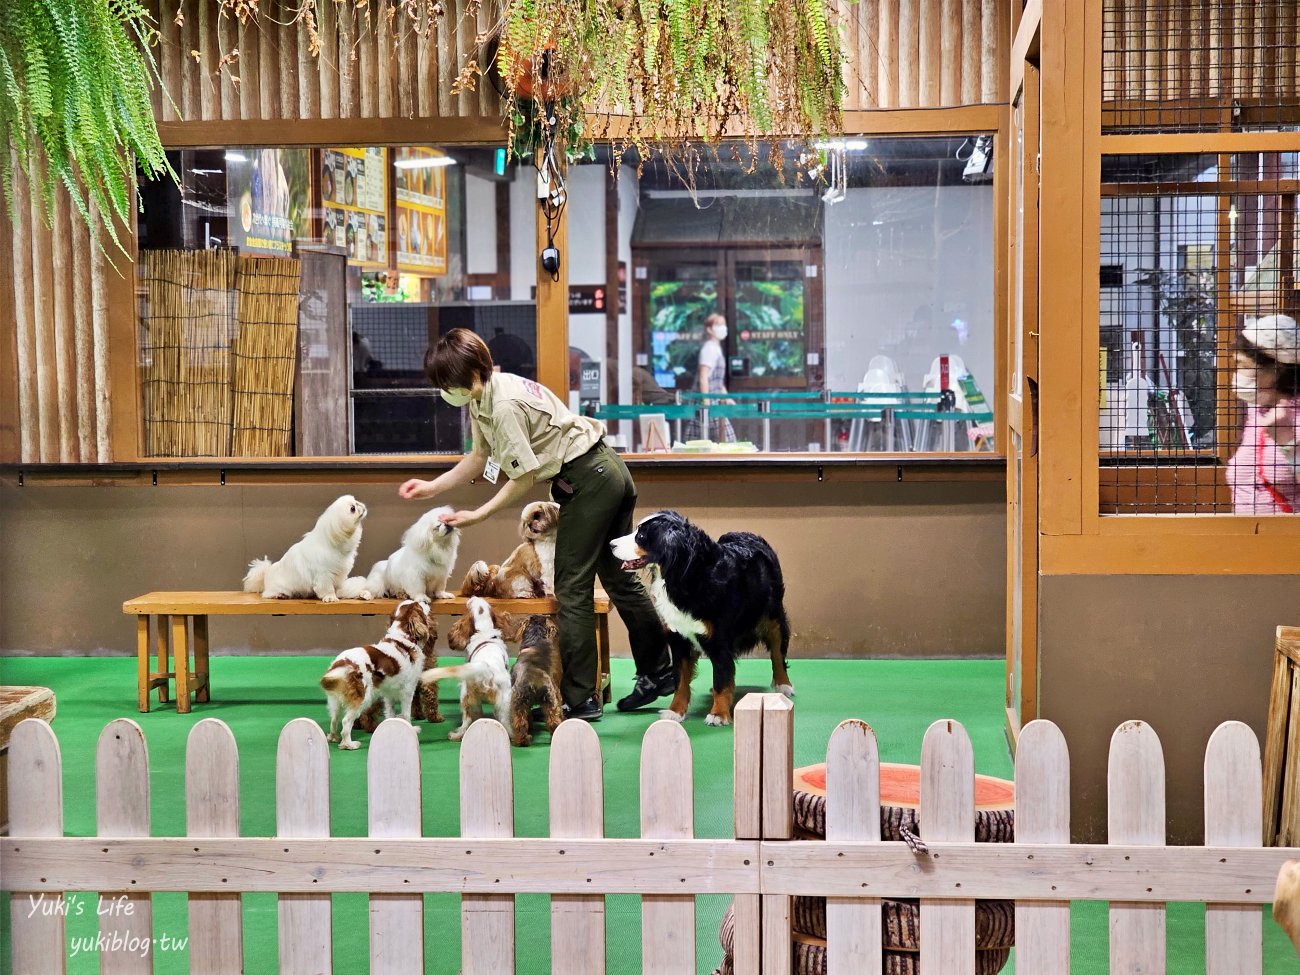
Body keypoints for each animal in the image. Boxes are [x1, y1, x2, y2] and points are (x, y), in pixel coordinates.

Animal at [319, 600, 436, 754]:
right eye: (420, 605)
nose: (426, 601)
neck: (403, 637)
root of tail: (342, 663)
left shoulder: (388, 693)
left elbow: (391, 712)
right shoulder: (408, 691)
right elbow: (406, 714)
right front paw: (410, 729)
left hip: (335, 699)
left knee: (333, 719)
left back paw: (333, 737)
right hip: (363, 697)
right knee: (346, 722)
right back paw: (349, 744)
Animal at [421, 600, 512, 743]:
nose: (472, 598)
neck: (484, 631)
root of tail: (485, 667)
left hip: (466, 695)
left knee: (468, 720)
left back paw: (456, 735)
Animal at [501, 618, 564, 748]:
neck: (534, 645)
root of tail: (534, 682)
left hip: (519, 704)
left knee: (521, 724)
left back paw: (522, 740)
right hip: (550, 702)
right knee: (554, 722)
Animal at [611, 512, 790, 728]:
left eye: (641, 536)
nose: (610, 544)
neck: (682, 575)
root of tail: (748, 534)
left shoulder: (719, 640)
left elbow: (721, 678)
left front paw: (718, 714)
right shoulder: (679, 638)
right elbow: (681, 681)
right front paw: (675, 712)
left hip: (773, 617)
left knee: (777, 653)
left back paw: (784, 685)